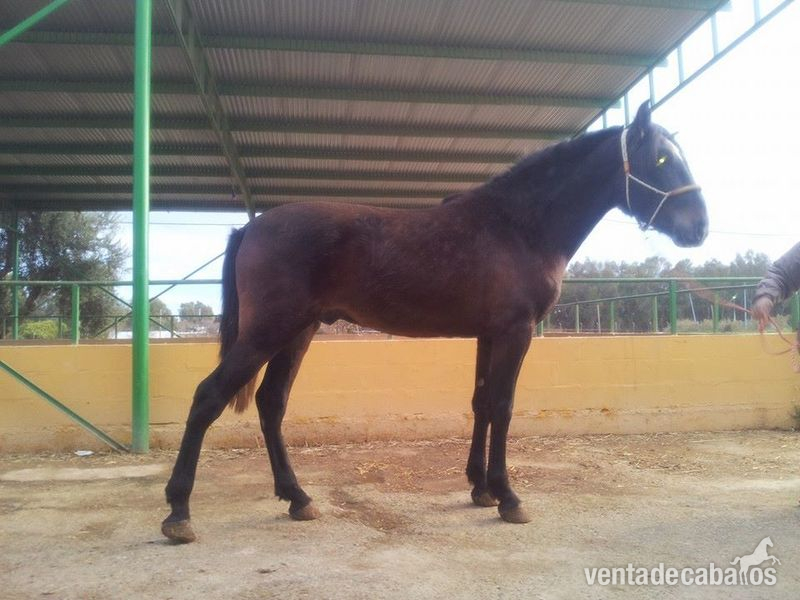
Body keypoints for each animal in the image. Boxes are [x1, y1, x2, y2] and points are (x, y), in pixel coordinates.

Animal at [162, 102, 708, 543]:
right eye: (661, 159)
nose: (699, 227)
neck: (519, 226)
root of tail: (251, 227)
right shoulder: (516, 332)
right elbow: (503, 406)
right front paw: (509, 498)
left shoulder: (490, 334)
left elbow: (482, 403)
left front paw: (480, 489)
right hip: (270, 330)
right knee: (208, 397)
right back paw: (178, 512)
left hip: (298, 332)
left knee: (271, 403)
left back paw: (298, 497)